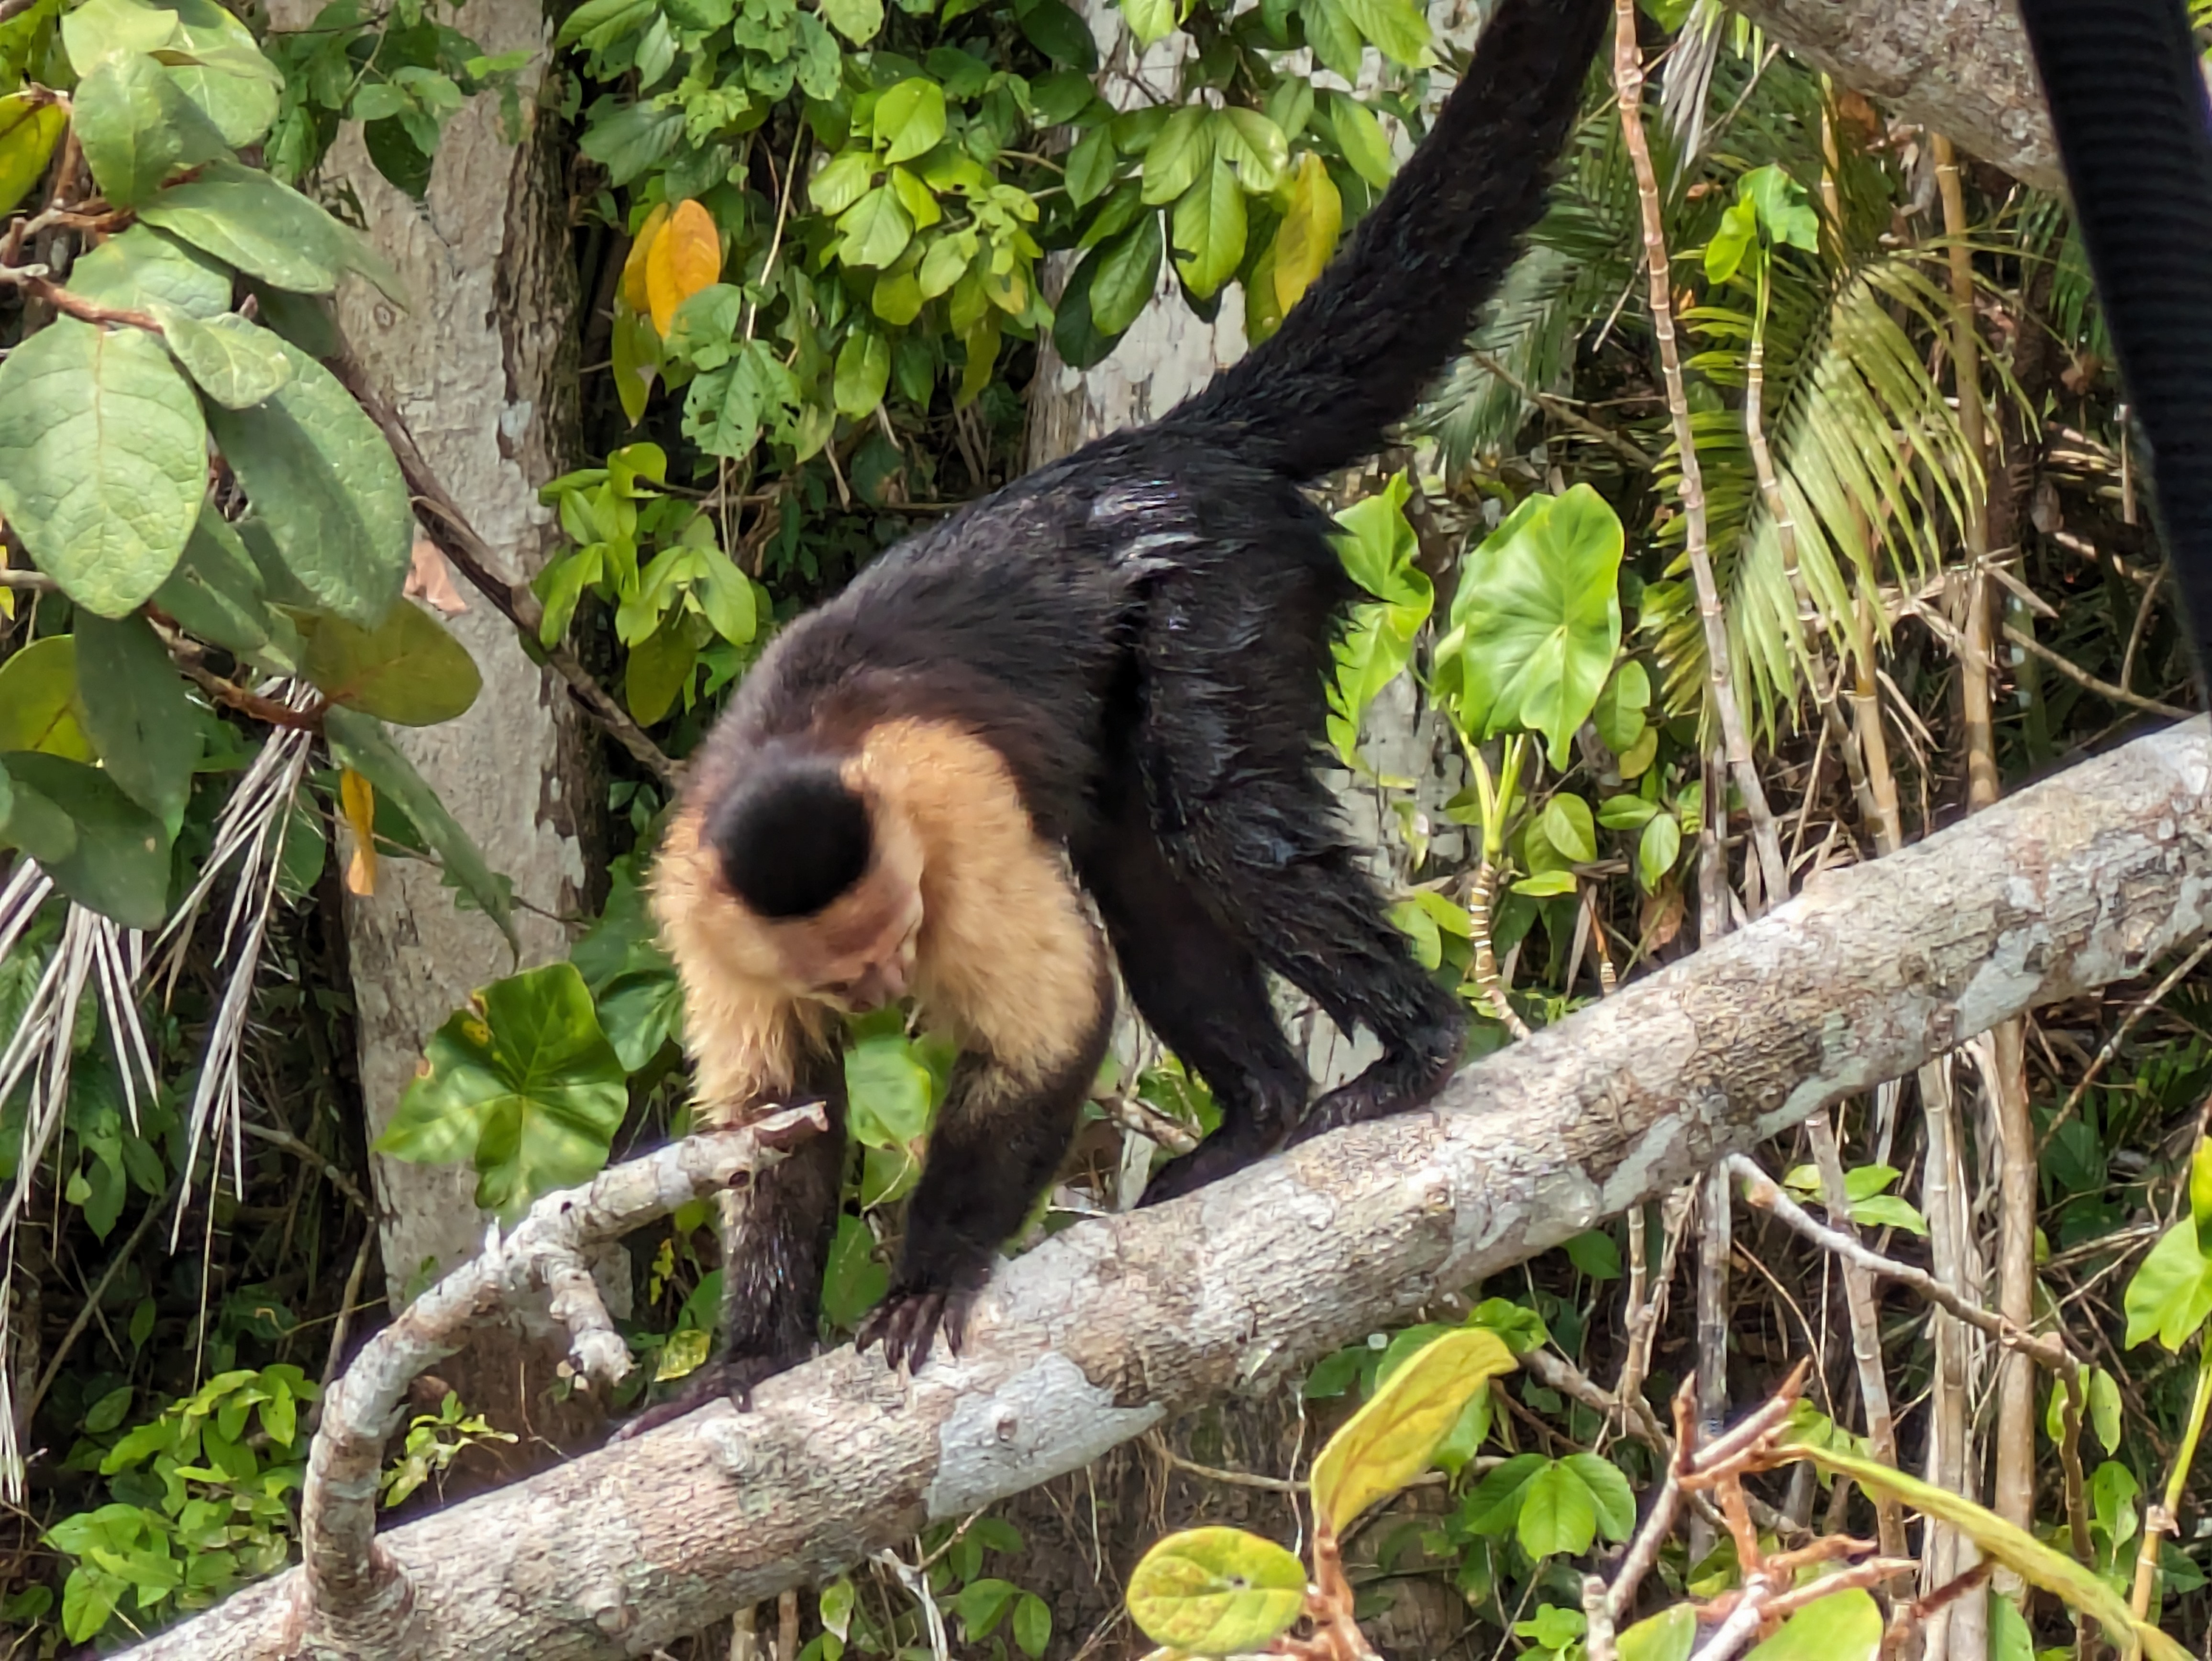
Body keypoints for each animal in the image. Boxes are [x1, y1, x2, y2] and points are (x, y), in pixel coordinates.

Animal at [615, 0, 1613, 1435]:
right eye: (844, 969)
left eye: (898, 933)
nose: (887, 989)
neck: (804, 758)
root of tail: (1160, 454)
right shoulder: (702, 910)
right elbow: (776, 1116)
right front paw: (750, 1353)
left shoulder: (950, 819)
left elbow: (1049, 1022)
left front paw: (929, 1273)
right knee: (1151, 865)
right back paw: (1259, 1113)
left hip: (1223, 588)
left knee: (1216, 819)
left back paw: (1412, 1051)